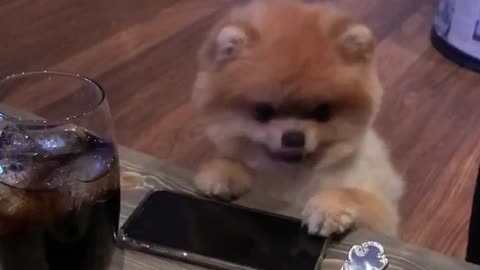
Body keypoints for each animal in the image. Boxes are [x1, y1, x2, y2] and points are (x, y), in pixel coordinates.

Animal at [189, 0, 404, 236]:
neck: (293, 175)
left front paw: (329, 206)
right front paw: (223, 172)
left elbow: (354, 194)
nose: (293, 138)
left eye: (322, 111)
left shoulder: (383, 216)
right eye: (263, 111)